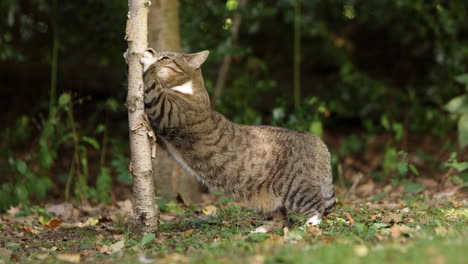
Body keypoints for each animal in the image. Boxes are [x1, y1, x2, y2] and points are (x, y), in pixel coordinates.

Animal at [133, 48, 334, 232]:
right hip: (266, 197)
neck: (189, 87)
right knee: (281, 218)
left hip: (294, 187)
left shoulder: (166, 111)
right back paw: (261, 230)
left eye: (165, 58)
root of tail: (310, 136)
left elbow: (153, 87)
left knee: (317, 206)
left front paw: (146, 58)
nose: (155, 52)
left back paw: (309, 226)